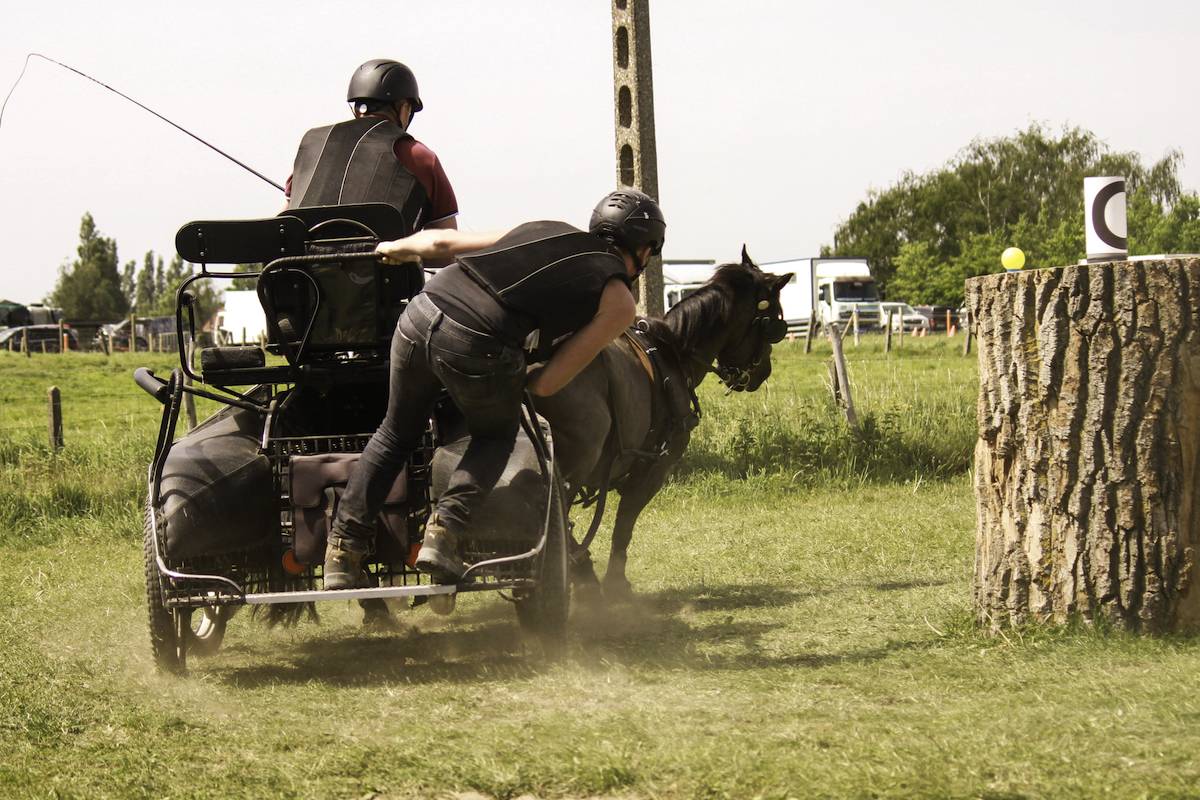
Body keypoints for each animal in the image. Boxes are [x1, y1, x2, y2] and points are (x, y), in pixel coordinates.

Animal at [535, 248, 787, 594]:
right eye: (775, 320)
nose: (764, 372)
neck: (673, 350)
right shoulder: (654, 466)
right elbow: (624, 524)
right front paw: (615, 582)